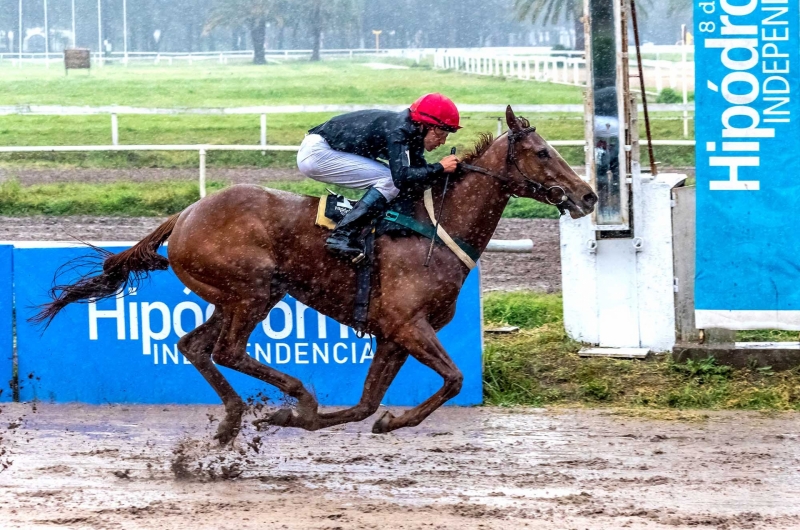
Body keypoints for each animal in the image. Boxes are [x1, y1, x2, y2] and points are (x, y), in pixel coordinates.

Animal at [34, 106, 596, 442]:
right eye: (543, 152)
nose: (588, 195)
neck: (435, 228)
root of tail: (185, 214)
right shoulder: (409, 324)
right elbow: (454, 379)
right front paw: (360, 418)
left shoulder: (393, 335)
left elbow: (367, 405)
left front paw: (356, 419)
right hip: (254, 290)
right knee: (228, 350)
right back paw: (295, 397)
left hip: (234, 296)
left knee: (194, 346)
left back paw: (235, 420)